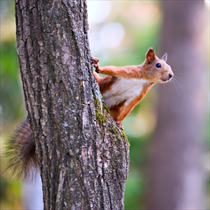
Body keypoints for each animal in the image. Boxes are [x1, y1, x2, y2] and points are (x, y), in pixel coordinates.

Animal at [5, 47, 174, 177]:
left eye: (170, 67)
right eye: (158, 65)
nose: (171, 75)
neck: (143, 80)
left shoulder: (137, 96)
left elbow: (127, 109)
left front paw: (119, 123)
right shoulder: (128, 71)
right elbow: (112, 69)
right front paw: (98, 66)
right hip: (101, 84)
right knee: (98, 79)